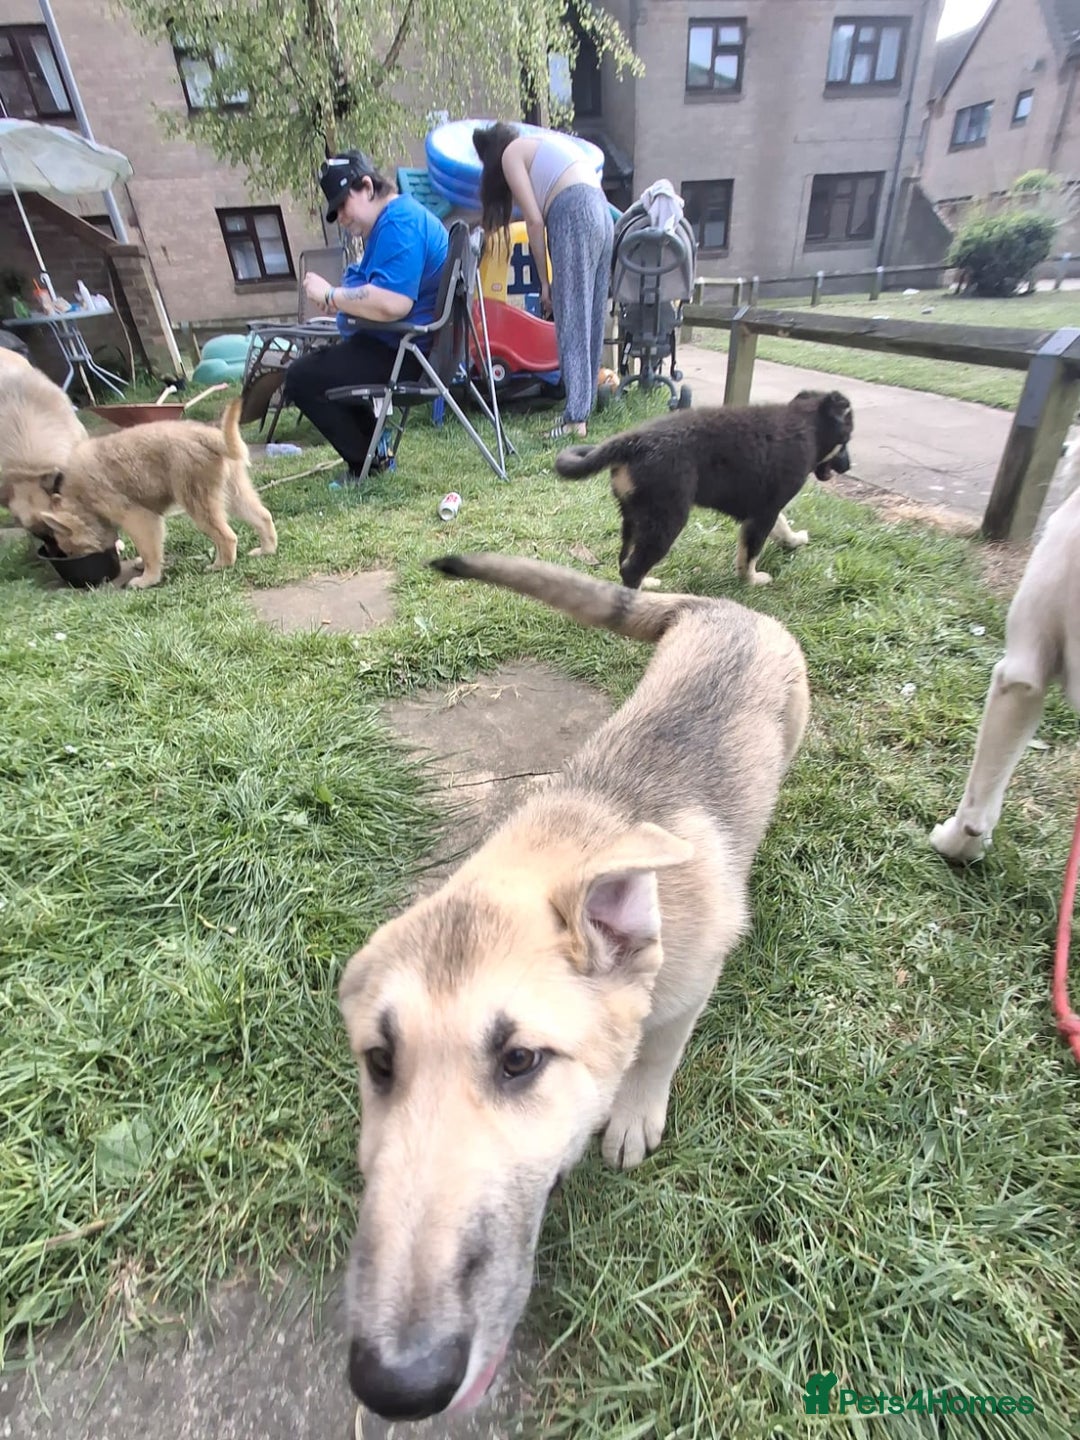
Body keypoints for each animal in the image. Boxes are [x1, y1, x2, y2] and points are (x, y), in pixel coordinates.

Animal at [21, 400, 278, 589]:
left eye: (71, 551)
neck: (80, 499)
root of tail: (208, 435)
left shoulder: (139, 517)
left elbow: (149, 550)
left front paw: (147, 579)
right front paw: (141, 566)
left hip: (197, 501)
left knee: (227, 536)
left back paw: (220, 565)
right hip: (234, 492)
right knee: (263, 516)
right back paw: (266, 549)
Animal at [337, 553, 809, 1421]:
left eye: (521, 1061)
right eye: (380, 1062)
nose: (396, 1384)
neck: (561, 848)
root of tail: (722, 608)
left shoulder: (691, 984)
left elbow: (658, 1050)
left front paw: (632, 1115)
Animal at [554, 390, 854, 588]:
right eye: (847, 440)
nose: (849, 466)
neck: (809, 428)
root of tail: (633, 441)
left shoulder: (764, 508)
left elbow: (782, 526)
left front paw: (794, 541)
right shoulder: (764, 512)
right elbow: (750, 553)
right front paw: (752, 580)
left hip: (633, 516)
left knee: (625, 560)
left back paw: (646, 584)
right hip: (667, 519)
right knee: (632, 569)